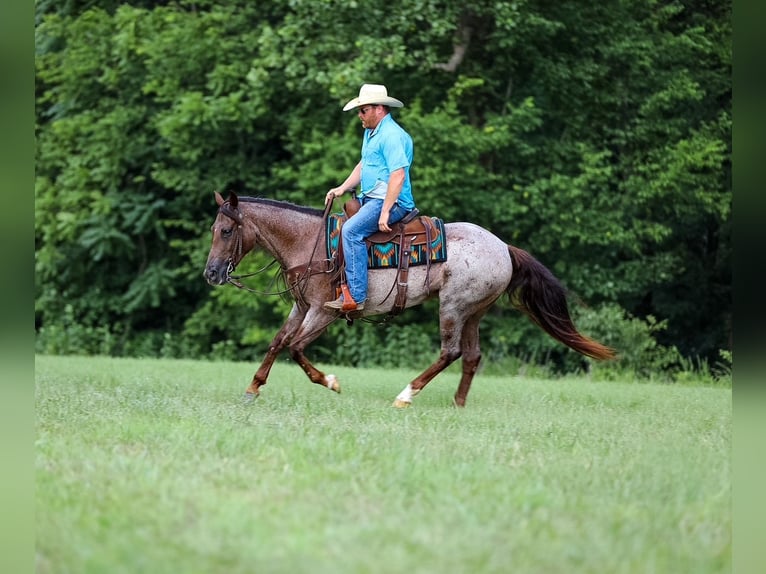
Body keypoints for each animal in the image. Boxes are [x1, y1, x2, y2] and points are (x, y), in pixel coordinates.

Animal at [204, 191, 616, 407]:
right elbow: (278, 342)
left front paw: (332, 382)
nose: (211, 273)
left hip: (452, 306)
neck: (311, 245)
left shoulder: (323, 311)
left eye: (226, 231)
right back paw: (458, 404)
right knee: (471, 356)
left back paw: (406, 394)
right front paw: (252, 388)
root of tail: (503, 247)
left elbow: (296, 348)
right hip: (474, 312)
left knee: (450, 352)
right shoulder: (300, 307)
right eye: (213, 228)